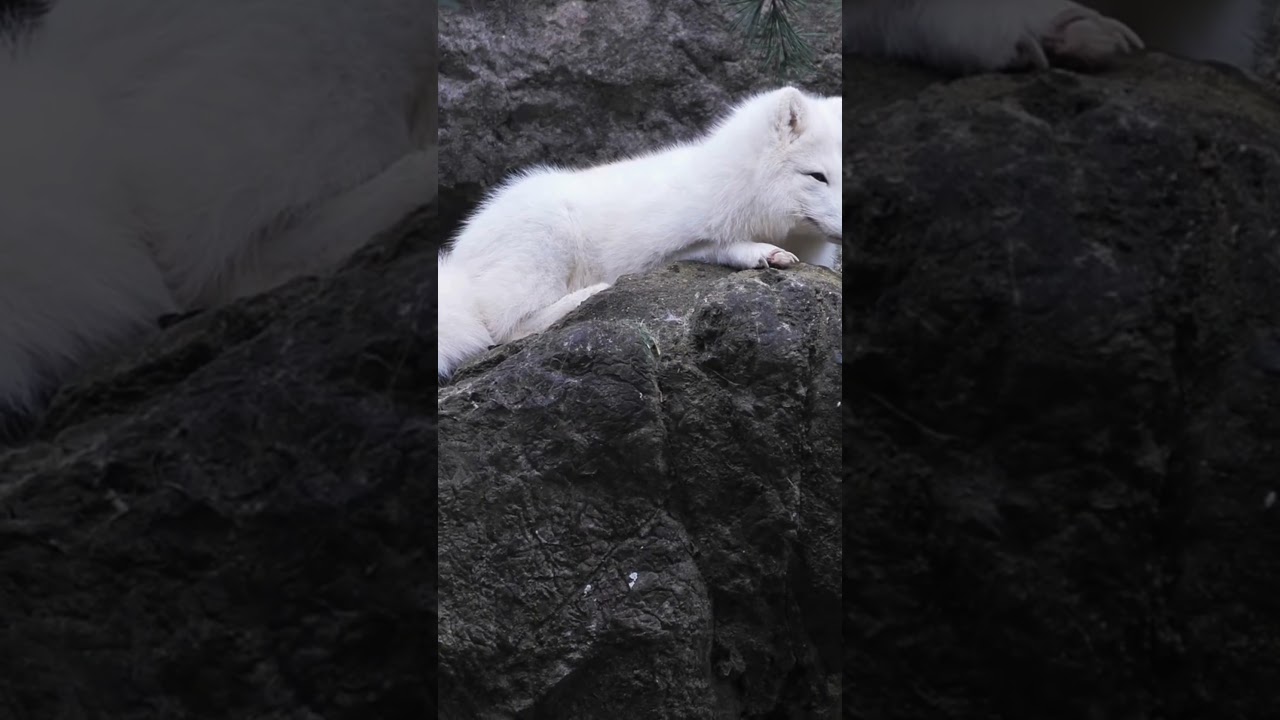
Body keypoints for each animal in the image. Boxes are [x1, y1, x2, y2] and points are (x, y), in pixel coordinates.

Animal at [436, 86, 843, 379]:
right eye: (817, 177)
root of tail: (459, 258)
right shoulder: (654, 252)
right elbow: (713, 245)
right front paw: (758, 251)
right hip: (543, 242)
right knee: (501, 327)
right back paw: (588, 295)